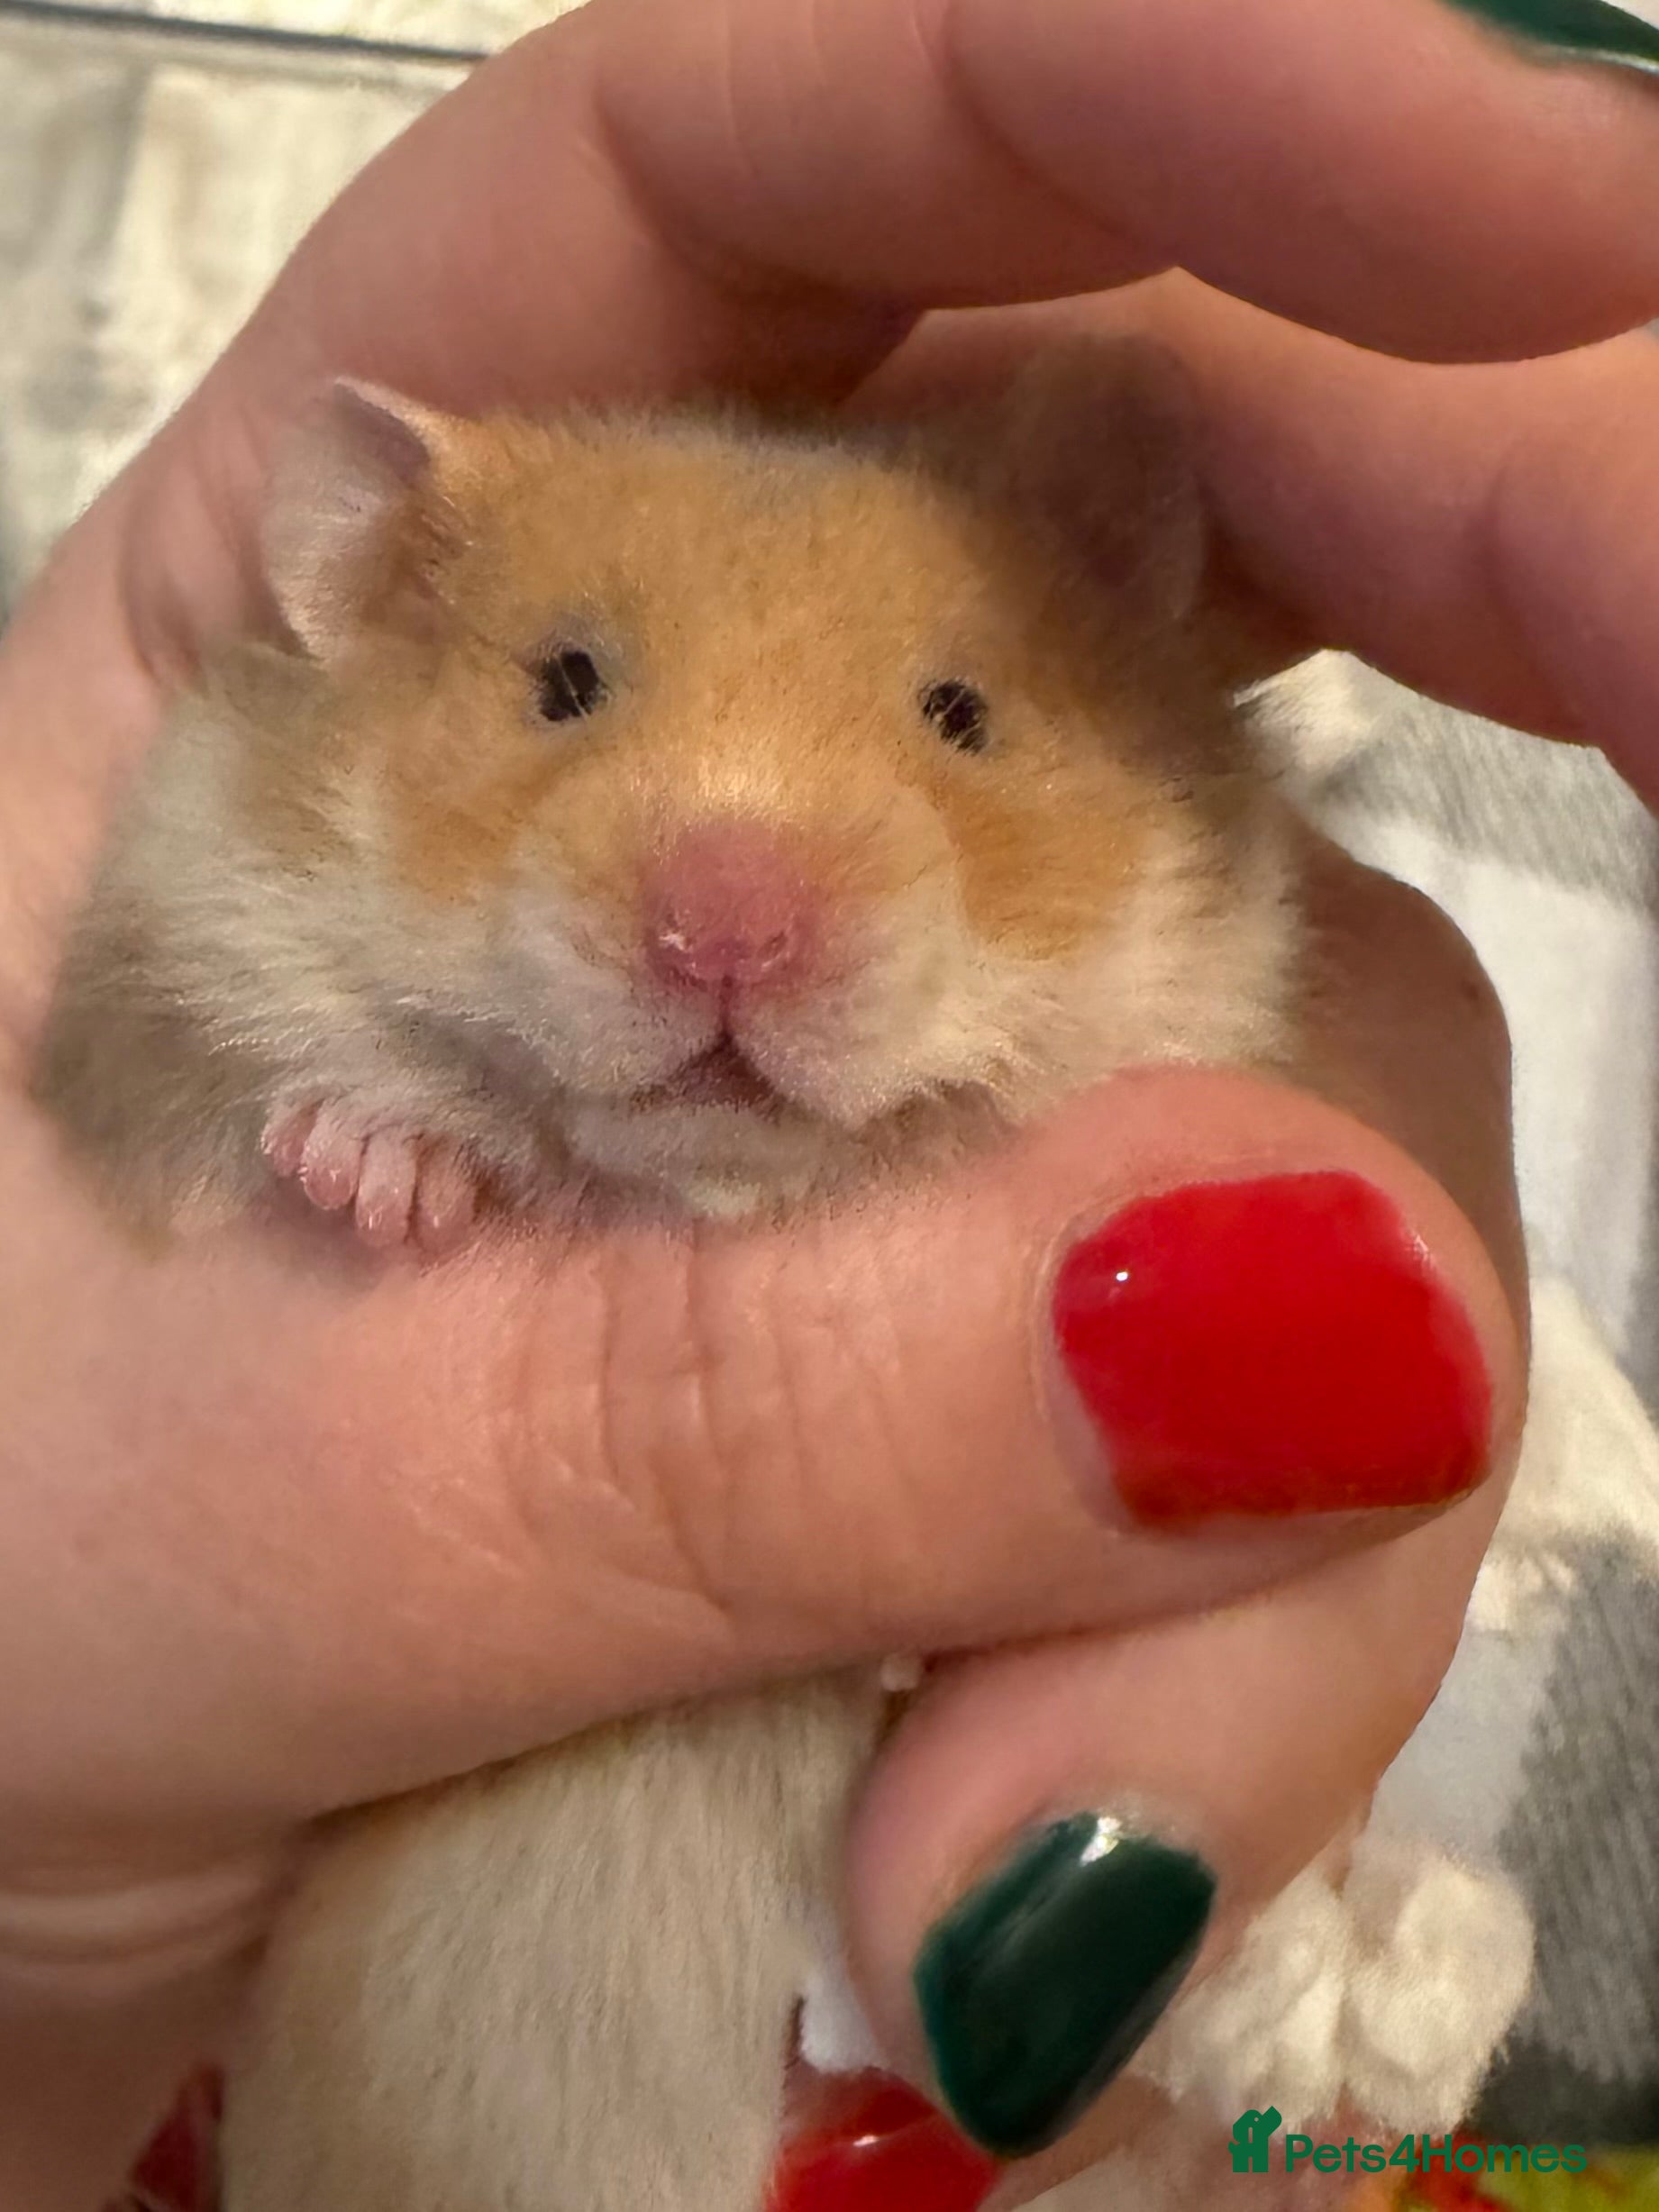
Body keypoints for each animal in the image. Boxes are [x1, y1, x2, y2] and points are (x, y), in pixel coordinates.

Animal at [31, 339, 1299, 2211]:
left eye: (962, 714)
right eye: (563, 685)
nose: (729, 929)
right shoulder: (144, 1026)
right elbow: (258, 1108)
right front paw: (385, 1171)